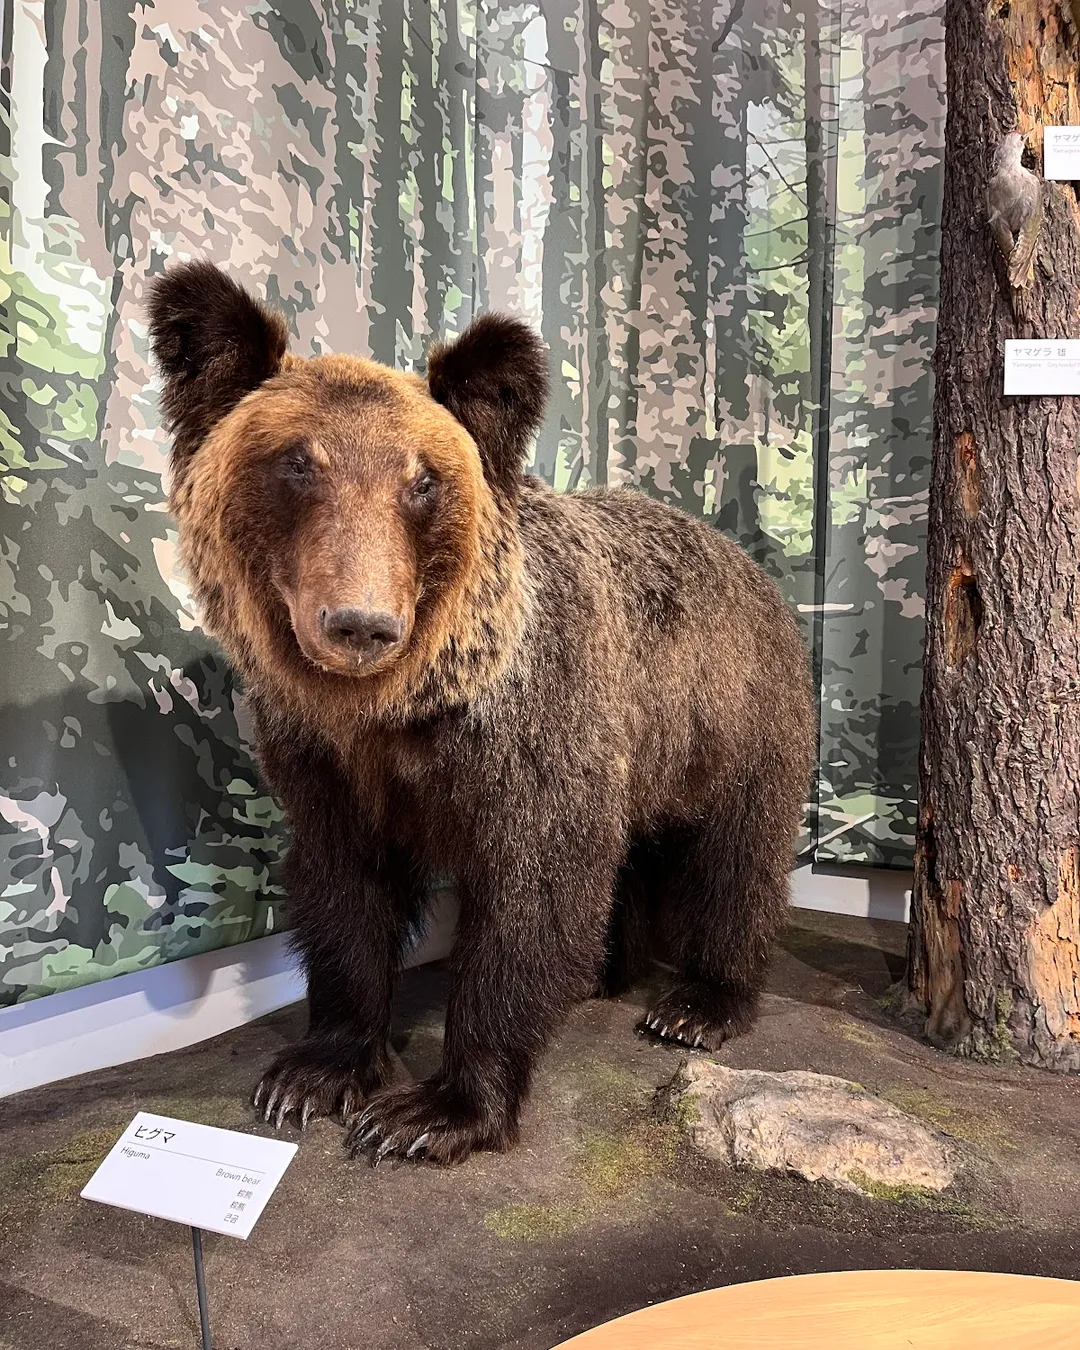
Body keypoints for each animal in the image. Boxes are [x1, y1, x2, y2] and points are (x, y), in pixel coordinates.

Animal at [149, 260, 810, 1161]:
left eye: (421, 480)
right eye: (298, 463)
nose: (360, 622)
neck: (402, 706)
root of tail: (747, 561)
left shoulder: (532, 738)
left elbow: (533, 899)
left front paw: (435, 1112)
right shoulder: (326, 762)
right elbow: (343, 892)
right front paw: (313, 1072)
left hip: (735, 715)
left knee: (738, 855)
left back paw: (698, 1004)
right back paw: (610, 970)